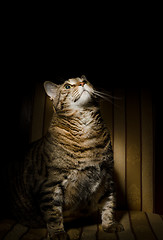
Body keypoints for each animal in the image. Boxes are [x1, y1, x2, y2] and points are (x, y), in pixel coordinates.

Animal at [9, 76, 123, 239]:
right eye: (68, 86)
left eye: (85, 79)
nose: (82, 83)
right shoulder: (50, 185)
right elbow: (53, 214)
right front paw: (58, 233)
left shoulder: (107, 177)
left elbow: (109, 204)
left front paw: (110, 224)